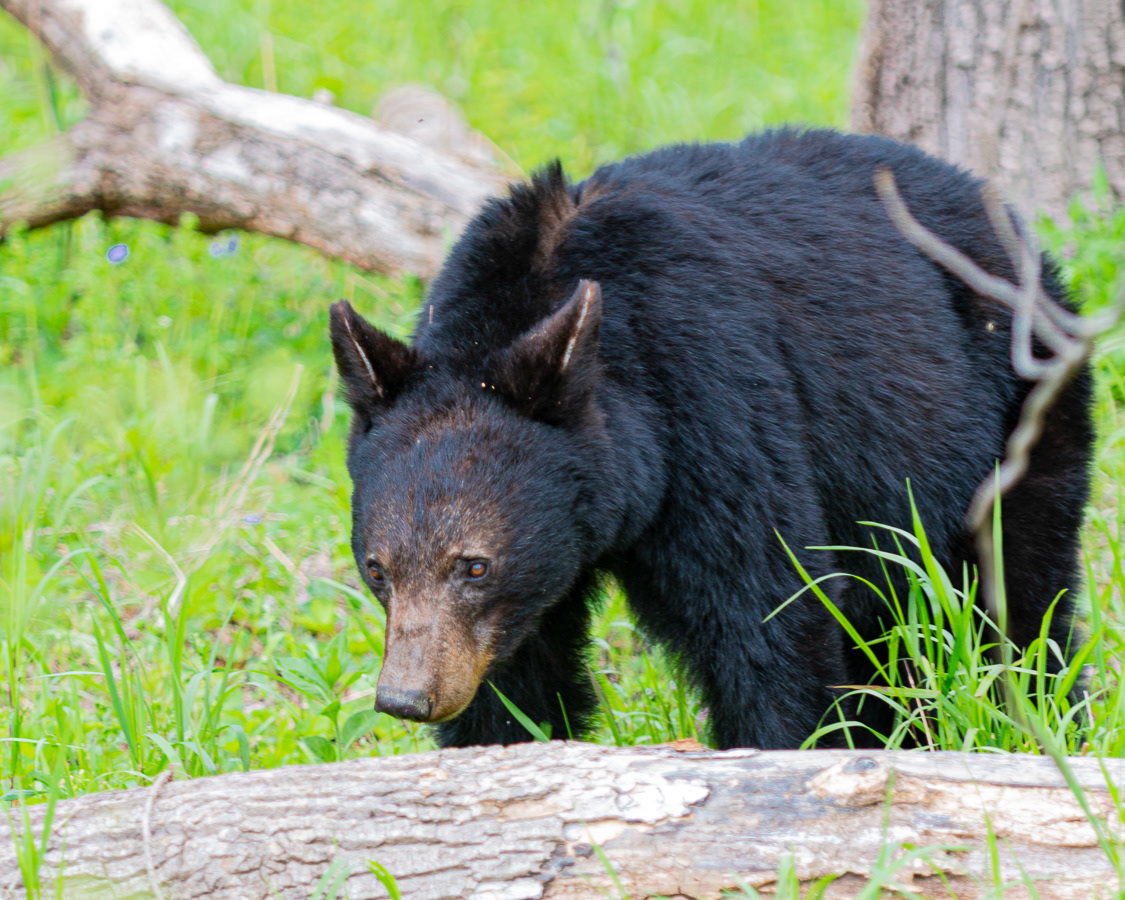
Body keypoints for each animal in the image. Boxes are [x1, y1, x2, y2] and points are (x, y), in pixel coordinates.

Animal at [329, 128, 1093, 751]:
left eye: (474, 565)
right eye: (377, 568)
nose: (406, 698)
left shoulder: (710, 402)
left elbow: (766, 617)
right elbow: (518, 679)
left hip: (1014, 404)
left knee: (1017, 595)